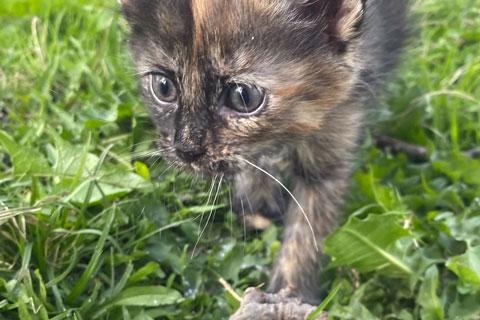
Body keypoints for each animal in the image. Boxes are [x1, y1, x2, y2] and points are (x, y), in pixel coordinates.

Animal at [120, 0, 404, 304]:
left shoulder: (338, 127)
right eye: (163, 87)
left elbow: (309, 225)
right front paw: (256, 199)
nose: (186, 149)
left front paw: (291, 293)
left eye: (243, 96)